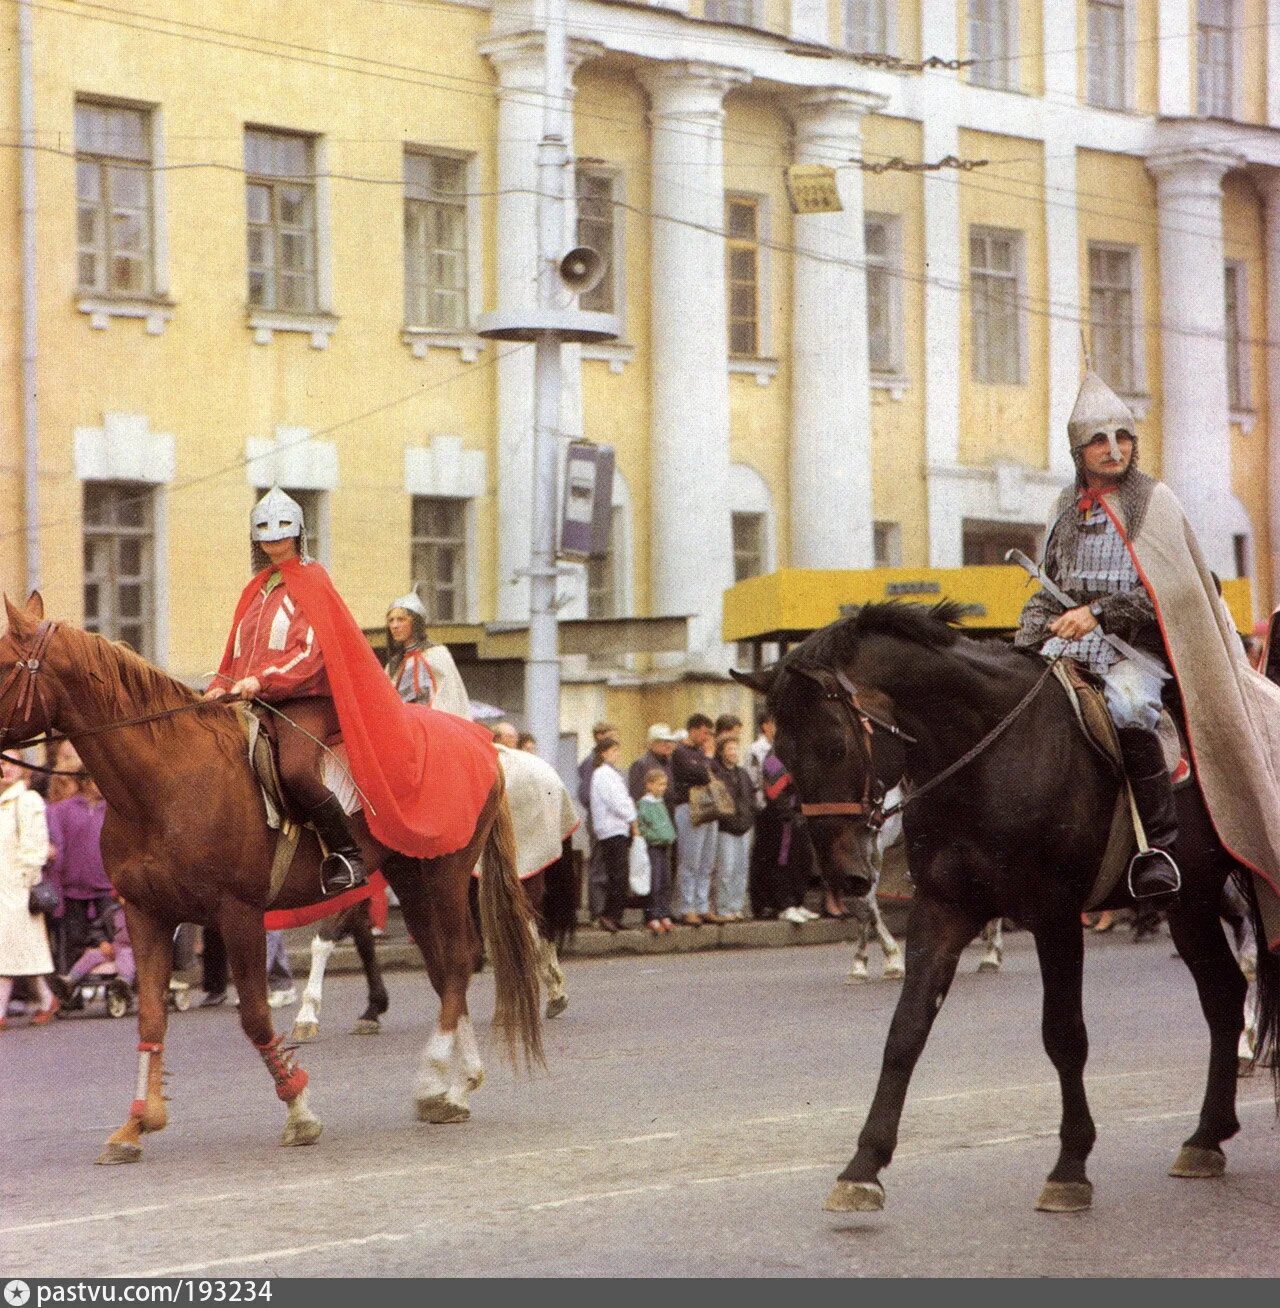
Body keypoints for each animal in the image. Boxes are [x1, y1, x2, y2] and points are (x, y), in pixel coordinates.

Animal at [0, 596, 543, 1166]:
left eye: (4, 663)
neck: (168, 782)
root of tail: (486, 745)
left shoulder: (238, 914)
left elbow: (256, 1017)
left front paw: (299, 1110)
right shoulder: (145, 913)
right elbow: (150, 1017)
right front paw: (135, 1124)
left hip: (445, 875)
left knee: (459, 961)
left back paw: (436, 1079)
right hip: (410, 879)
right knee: (444, 971)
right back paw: (456, 1087)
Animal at [737, 601, 1276, 1213]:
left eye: (835, 745)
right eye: (782, 755)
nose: (841, 875)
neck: (990, 753)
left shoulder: (1056, 914)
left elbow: (1064, 1035)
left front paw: (1070, 1166)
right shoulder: (943, 908)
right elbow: (906, 1030)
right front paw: (863, 1167)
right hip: (1190, 902)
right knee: (1224, 995)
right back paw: (1207, 1137)